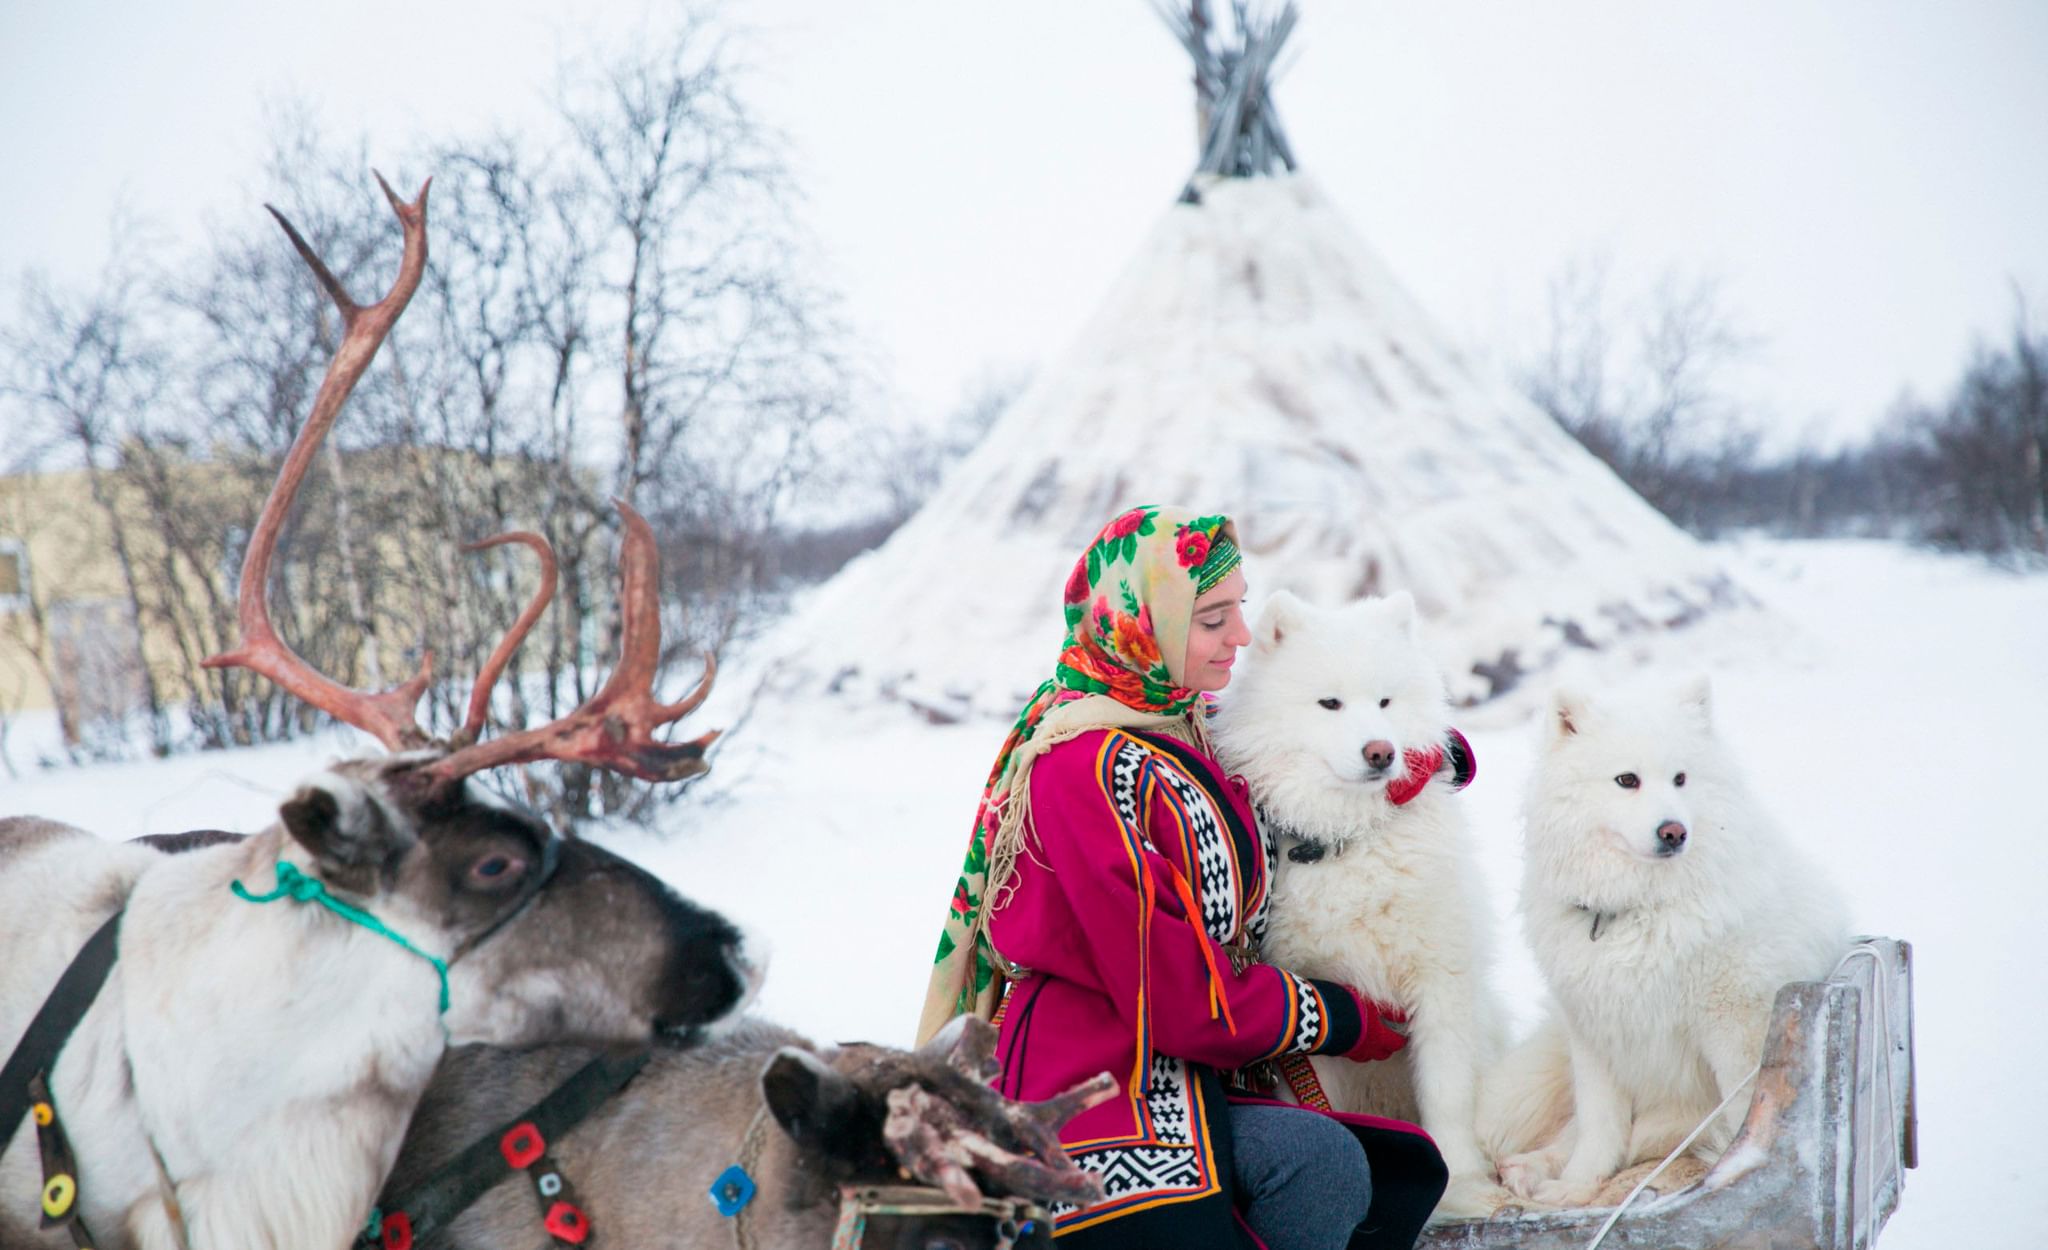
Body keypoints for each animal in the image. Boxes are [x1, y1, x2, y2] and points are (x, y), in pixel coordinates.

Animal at [1212, 590, 1507, 1213]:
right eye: (1330, 702)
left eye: (1385, 701)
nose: (1381, 752)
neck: (1350, 840)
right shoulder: (1309, 1029)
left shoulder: (1440, 984)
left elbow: (1447, 1097)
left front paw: (1463, 1188)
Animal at [1490, 676, 1859, 1204]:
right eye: (1627, 780)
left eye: (1681, 779)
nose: (1673, 832)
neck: (1639, 909)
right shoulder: (1596, 1037)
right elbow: (1599, 1128)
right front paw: (1578, 1187)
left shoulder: (1735, 1033)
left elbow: (1741, 1117)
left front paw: (1731, 1173)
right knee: (1578, 1133)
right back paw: (1531, 1169)